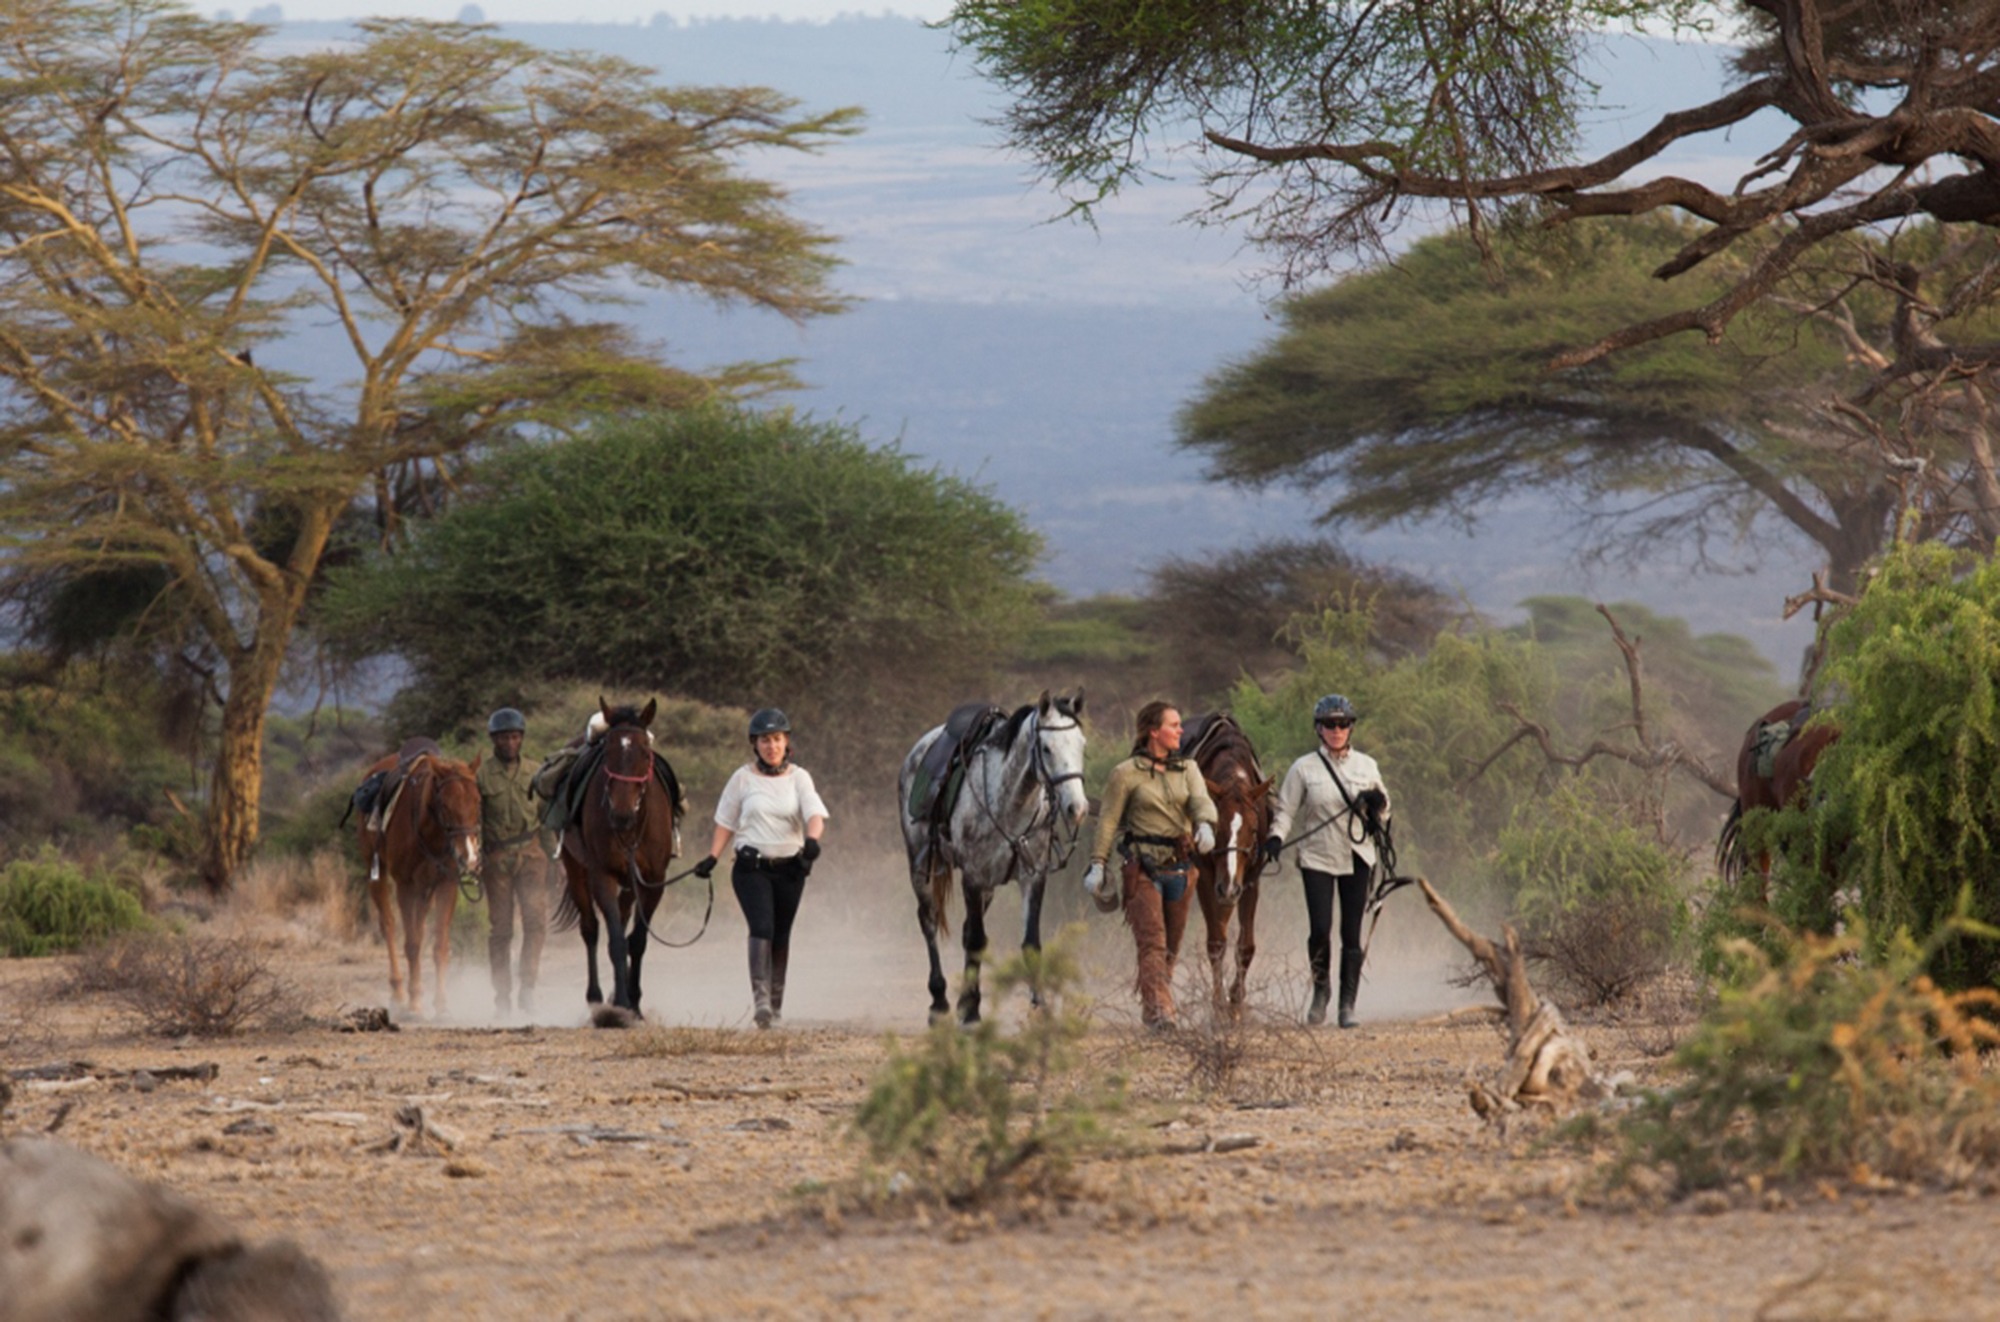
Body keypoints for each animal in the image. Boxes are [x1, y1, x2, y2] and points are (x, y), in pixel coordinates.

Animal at [360, 744, 484, 1020]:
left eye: (478, 801)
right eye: (445, 804)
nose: (469, 857)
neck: (430, 832)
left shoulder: (446, 884)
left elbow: (439, 945)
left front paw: (442, 1005)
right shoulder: (405, 885)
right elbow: (413, 944)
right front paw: (415, 1002)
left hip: (425, 889)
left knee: (420, 925)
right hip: (377, 872)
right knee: (389, 926)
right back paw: (398, 993)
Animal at [556, 700, 680, 1020]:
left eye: (645, 753)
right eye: (608, 753)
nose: (621, 815)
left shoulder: (653, 881)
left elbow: (636, 941)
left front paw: (633, 1002)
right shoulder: (603, 877)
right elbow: (614, 941)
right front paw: (622, 1004)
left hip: (629, 885)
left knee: (622, 923)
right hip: (575, 869)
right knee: (590, 929)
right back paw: (597, 998)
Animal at [900, 684, 1088, 1024]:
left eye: (1081, 745)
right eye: (1046, 749)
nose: (1076, 808)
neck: (1012, 804)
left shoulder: (1032, 877)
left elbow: (1029, 943)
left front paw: (1039, 1006)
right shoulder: (973, 878)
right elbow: (976, 940)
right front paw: (971, 1012)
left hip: (988, 886)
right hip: (921, 867)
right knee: (929, 921)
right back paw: (939, 1002)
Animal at [1176, 716, 1272, 1016]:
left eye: (1253, 829)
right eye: (1215, 827)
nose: (1228, 888)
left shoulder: (1250, 880)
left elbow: (1246, 946)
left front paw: (1237, 1001)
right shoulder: (1208, 879)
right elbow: (1216, 943)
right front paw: (1218, 1006)